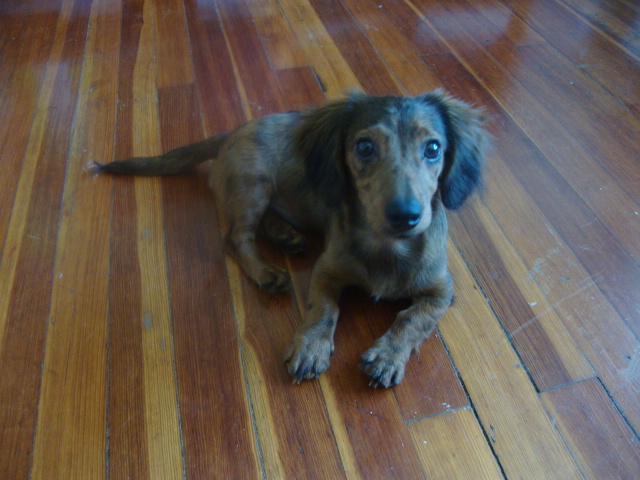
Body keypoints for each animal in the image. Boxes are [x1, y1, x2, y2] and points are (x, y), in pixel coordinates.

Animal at [98, 90, 488, 387]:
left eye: (433, 149)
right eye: (364, 147)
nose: (405, 215)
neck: (386, 247)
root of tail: (230, 132)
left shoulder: (441, 292)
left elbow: (412, 319)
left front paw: (388, 357)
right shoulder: (326, 271)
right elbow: (323, 309)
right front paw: (311, 347)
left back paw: (286, 235)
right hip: (252, 183)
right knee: (235, 238)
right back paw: (265, 271)